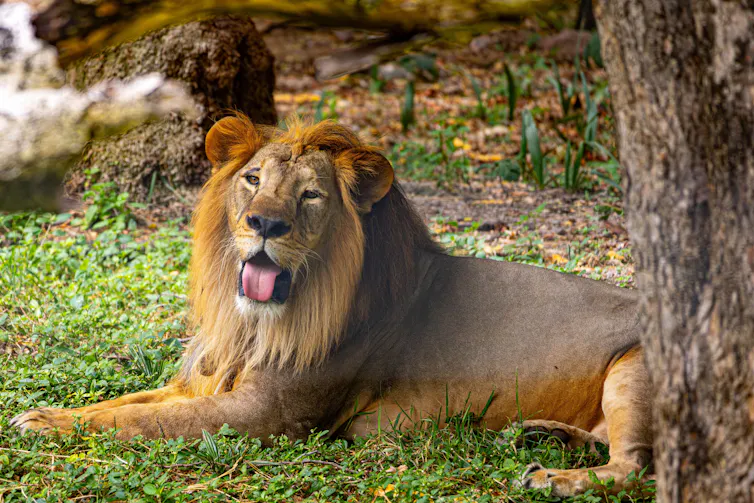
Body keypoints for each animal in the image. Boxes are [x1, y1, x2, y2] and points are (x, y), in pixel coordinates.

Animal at [12, 114, 652, 497]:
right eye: (252, 179)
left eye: (311, 195)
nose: (265, 224)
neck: (255, 324)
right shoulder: (206, 381)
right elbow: (124, 403)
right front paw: (47, 415)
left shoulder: (269, 416)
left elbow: (148, 421)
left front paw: (40, 425)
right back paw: (541, 435)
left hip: (634, 367)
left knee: (634, 465)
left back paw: (550, 475)